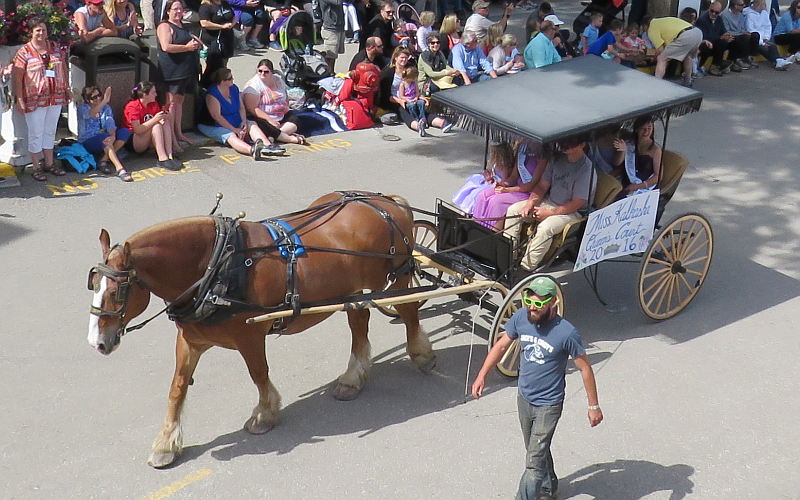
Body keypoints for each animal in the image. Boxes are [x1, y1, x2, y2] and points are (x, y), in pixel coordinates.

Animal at [86, 191, 438, 468]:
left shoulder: (249, 335)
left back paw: (421, 354)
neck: (217, 266)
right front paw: (166, 443)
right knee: (359, 320)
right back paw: (353, 378)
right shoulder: (190, 339)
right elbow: (178, 387)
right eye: (92, 283)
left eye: (118, 291)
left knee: (408, 311)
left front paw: (265, 414)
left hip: (395, 277)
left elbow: (258, 373)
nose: (97, 343)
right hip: (353, 291)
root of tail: (385, 202)